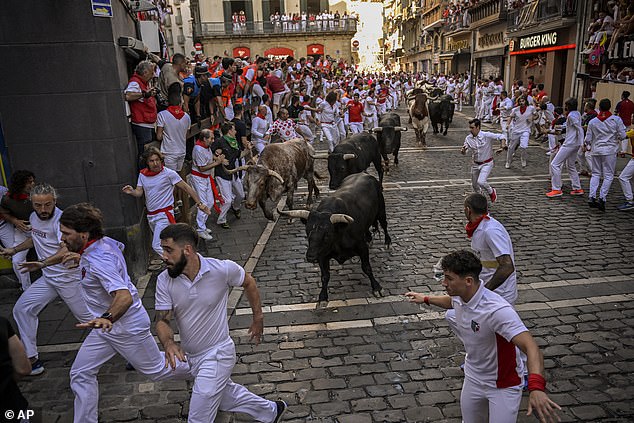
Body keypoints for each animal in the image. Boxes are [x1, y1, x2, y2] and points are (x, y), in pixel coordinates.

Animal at [278, 174, 388, 306]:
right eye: (308, 233)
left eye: (327, 235)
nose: (310, 256)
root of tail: (364, 174)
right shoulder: (322, 255)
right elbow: (325, 276)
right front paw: (322, 297)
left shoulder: (361, 247)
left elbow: (366, 267)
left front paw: (377, 288)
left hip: (381, 211)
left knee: (385, 225)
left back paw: (387, 243)